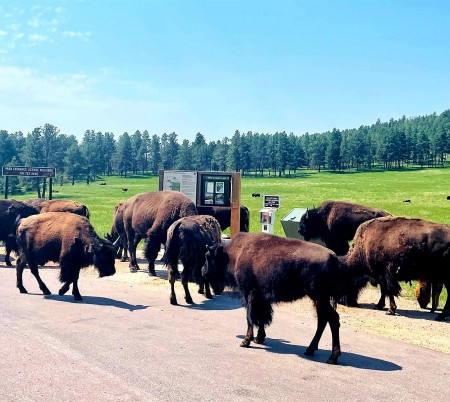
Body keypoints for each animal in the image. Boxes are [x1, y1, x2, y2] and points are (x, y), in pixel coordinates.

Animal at [202, 232, 350, 364]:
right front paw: (259, 338)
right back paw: (310, 350)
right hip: (319, 299)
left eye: (208, 256)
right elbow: (261, 318)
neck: (234, 253)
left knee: (332, 319)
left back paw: (332, 357)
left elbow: (250, 317)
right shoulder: (261, 298)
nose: (203, 271)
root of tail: (333, 257)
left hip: (320, 297)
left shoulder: (249, 293)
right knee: (323, 320)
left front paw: (246, 341)